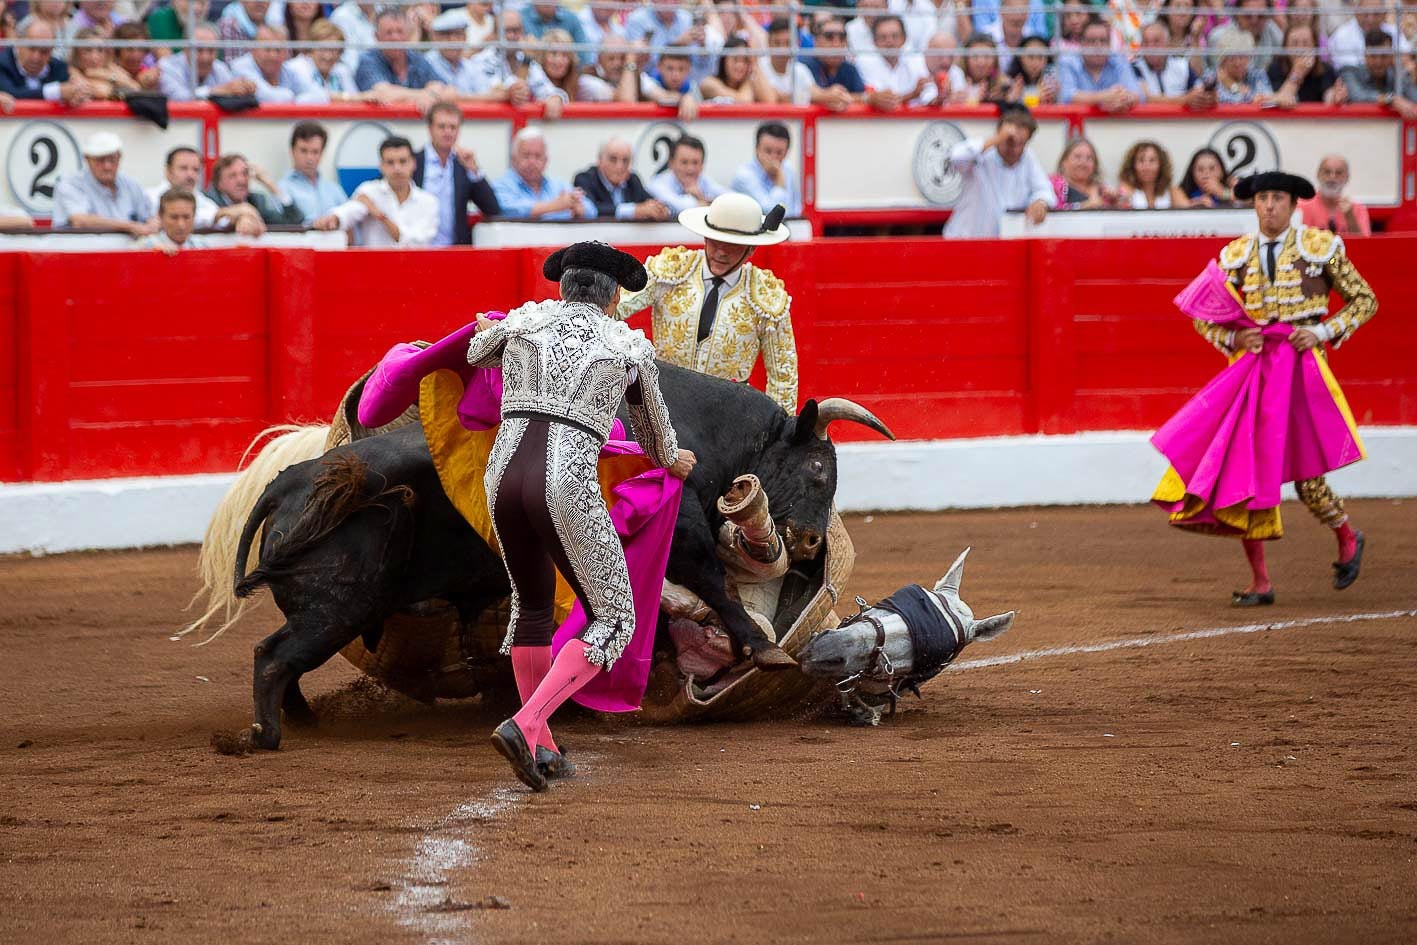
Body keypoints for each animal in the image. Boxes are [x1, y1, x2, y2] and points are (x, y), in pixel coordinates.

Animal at [236, 365, 889, 753]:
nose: (810, 544)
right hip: (336, 607)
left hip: (331, 609)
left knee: (276, 656)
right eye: (819, 468)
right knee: (273, 657)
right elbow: (715, 588)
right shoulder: (686, 535)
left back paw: (298, 721)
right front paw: (762, 648)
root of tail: (291, 482)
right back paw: (267, 734)